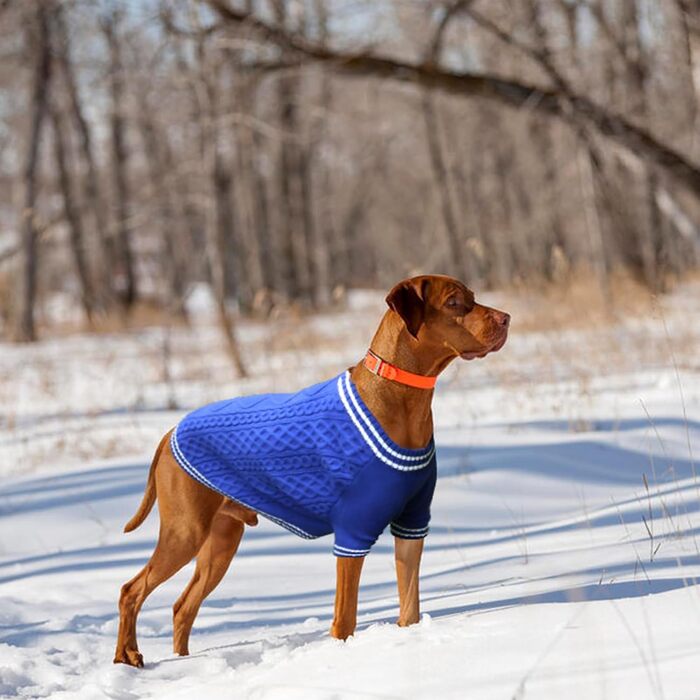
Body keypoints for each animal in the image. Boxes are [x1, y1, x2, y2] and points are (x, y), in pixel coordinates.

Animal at [113, 274, 508, 668]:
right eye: (455, 302)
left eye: (473, 296)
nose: (506, 318)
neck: (399, 395)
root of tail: (170, 432)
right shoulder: (353, 532)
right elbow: (345, 619)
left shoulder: (412, 525)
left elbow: (409, 608)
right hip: (185, 532)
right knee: (130, 590)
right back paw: (127, 656)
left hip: (221, 542)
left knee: (183, 607)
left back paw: (183, 661)